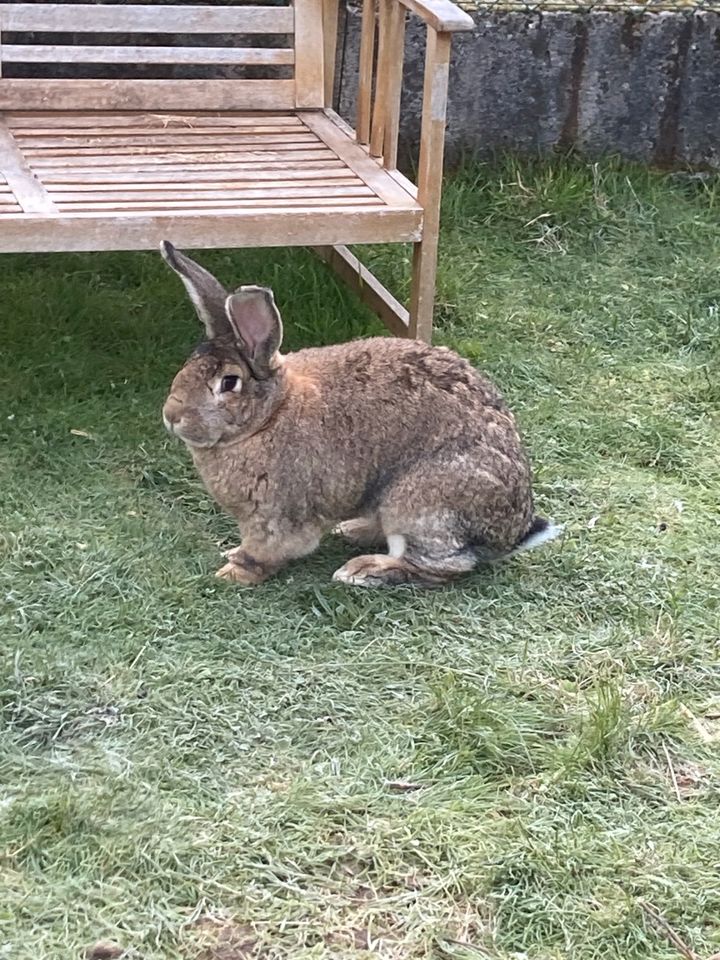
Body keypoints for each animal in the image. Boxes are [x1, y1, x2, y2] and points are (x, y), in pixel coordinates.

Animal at [160, 240, 560, 584]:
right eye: (189, 364)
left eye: (229, 383)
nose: (171, 415)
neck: (269, 415)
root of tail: (510, 534)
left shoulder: (274, 514)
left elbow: (265, 549)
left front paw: (233, 571)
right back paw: (352, 530)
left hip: (419, 505)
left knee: (440, 566)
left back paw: (363, 570)